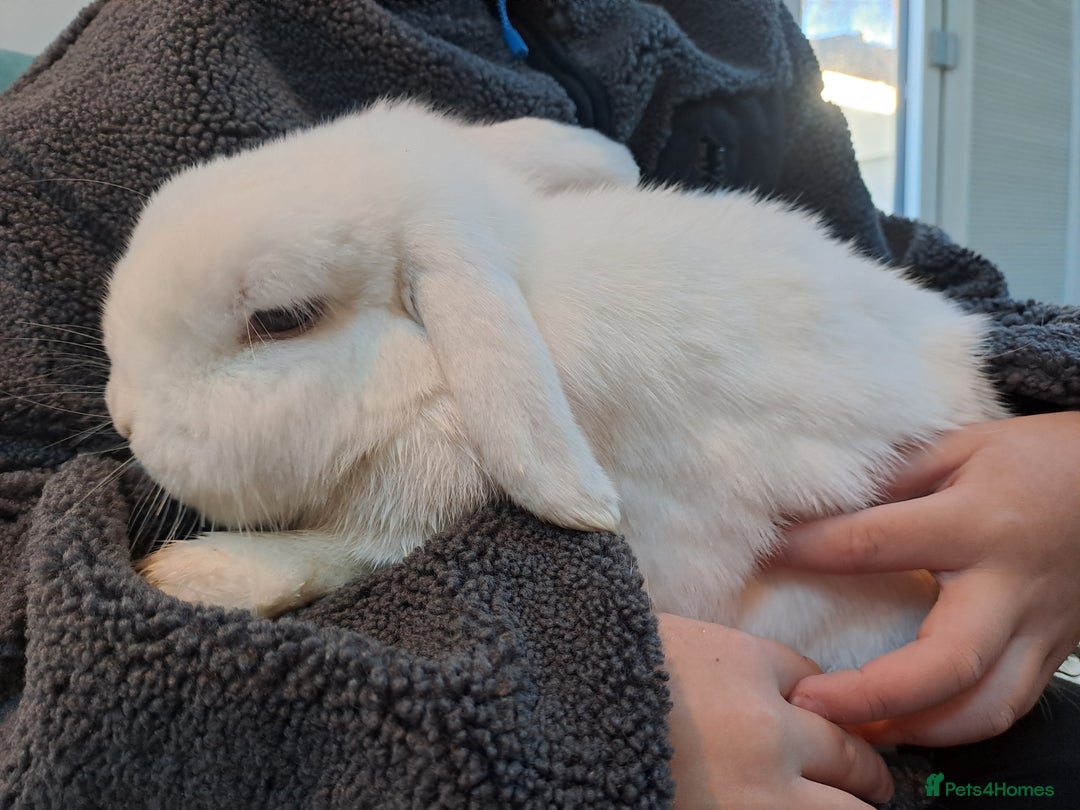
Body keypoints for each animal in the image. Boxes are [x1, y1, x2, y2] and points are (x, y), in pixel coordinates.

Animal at [102, 99, 1006, 670]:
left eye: (281, 319)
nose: (125, 416)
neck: (430, 381)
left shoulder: (422, 508)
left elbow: (342, 555)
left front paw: (196, 576)